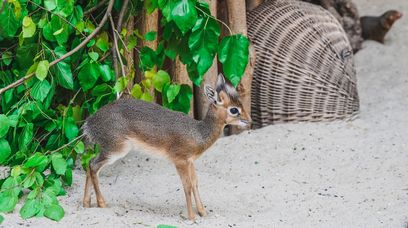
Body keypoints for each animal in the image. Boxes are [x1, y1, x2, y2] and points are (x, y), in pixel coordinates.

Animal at [81, 74, 250, 220]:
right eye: (234, 109)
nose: (249, 120)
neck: (198, 133)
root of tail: (89, 123)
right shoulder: (180, 161)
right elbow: (187, 186)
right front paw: (191, 217)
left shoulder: (190, 161)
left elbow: (195, 184)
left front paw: (203, 212)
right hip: (116, 150)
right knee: (93, 166)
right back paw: (101, 203)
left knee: (89, 164)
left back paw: (86, 203)